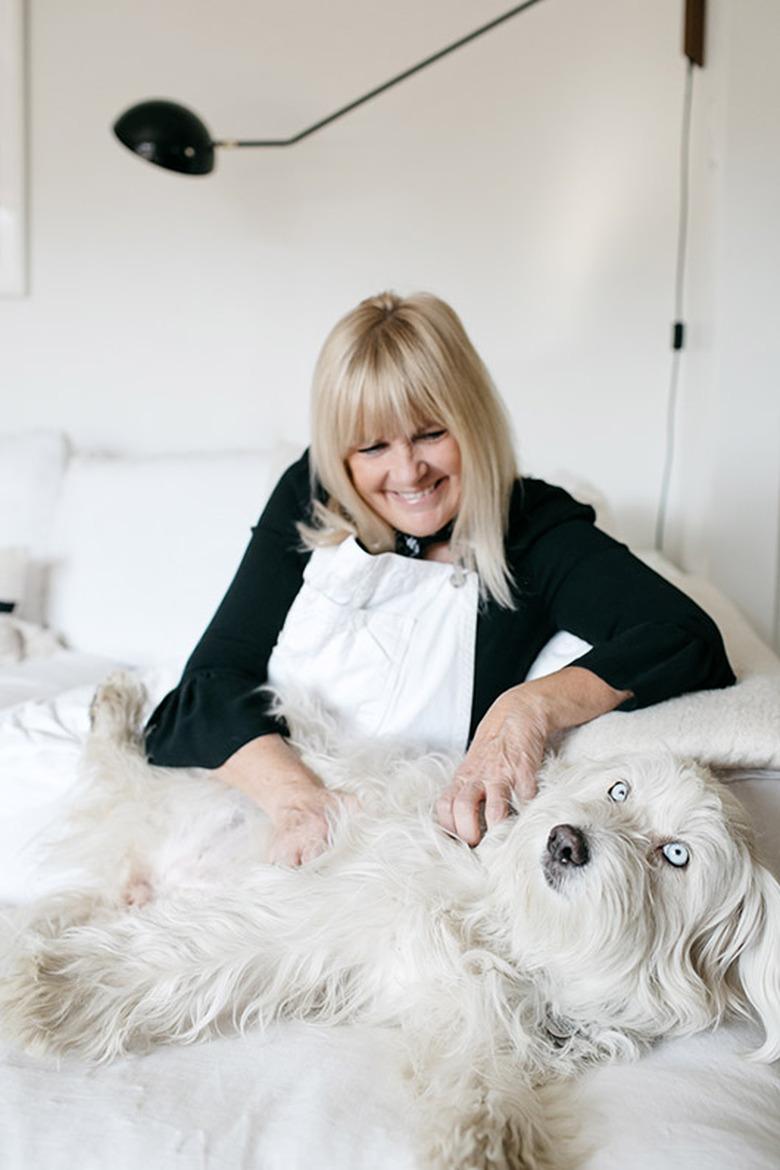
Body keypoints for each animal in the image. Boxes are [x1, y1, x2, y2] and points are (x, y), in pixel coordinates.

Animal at [1, 678, 780, 1170]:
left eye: (674, 856)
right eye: (617, 790)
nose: (566, 840)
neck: (510, 935)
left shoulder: (482, 1020)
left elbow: (486, 1086)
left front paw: (488, 1147)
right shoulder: (322, 909)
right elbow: (180, 957)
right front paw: (49, 988)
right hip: (163, 791)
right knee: (118, 764)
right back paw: (114, 705)